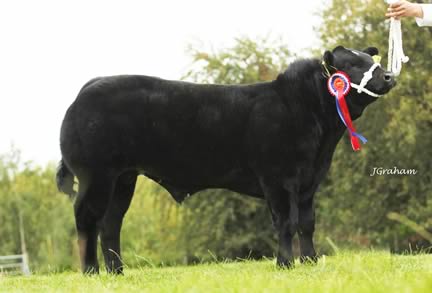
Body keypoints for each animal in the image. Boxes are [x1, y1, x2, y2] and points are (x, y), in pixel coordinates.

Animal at [56, 45, 394, 272]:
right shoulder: (278, 180)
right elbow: (286, 222)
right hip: (96, 176)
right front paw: (285, 264)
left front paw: (309, 261)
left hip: (123, 179)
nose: (389, 75)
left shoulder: (309, 182)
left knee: (111, 223)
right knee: (87, 219)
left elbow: (307, 223)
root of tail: (89, 87)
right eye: (353, 64)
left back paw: (117, 272)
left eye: (371, 60)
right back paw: (91, 271)